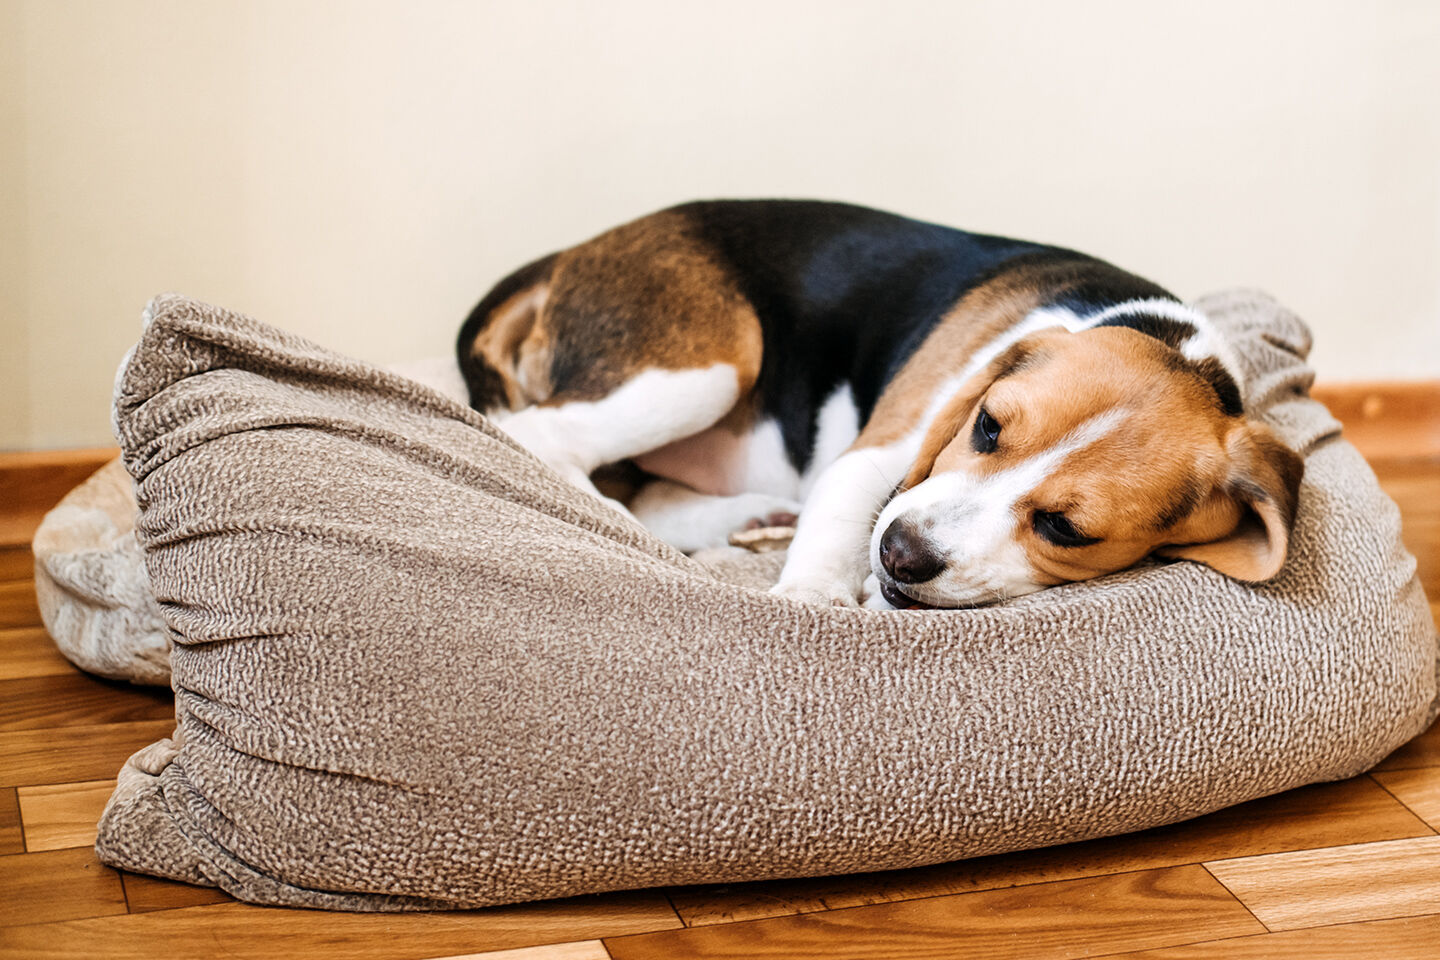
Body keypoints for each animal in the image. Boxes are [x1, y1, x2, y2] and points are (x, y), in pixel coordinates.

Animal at [457, 198, 1307, 613]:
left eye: (1065, 529)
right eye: (988, 425)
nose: (901, 554)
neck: (1176, 347)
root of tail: (567, 256)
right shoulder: (881, 451)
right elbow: (843, 509)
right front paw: (812, 595)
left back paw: (749, 519)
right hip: (709, 366)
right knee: (538, 436)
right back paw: (615, 527)